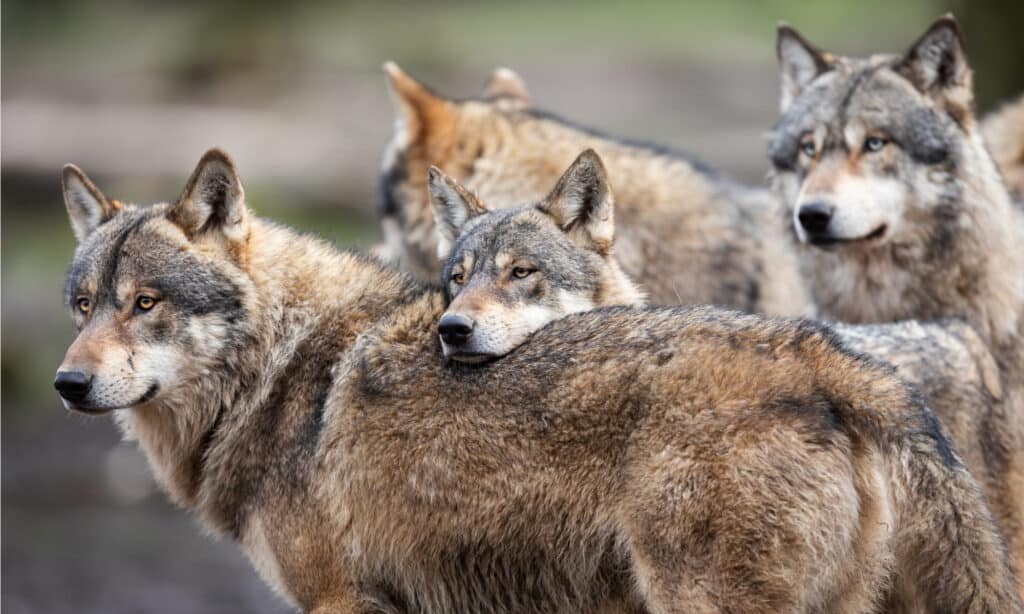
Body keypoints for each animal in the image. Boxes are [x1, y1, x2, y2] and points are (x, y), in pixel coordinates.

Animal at [56, 148, 1024, 614]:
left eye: (145, 304)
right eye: (83, 304)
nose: (67, 384)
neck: (280, 371)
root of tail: (824, 354)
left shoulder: (341, 601)